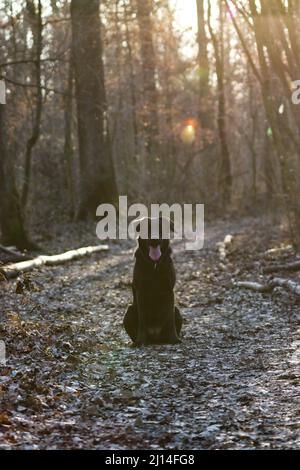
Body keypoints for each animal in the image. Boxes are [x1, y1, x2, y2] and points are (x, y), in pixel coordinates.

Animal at [123, 218, 182, 346]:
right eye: (147, 229)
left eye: (160, 229)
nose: (154, 240)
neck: (154, 265)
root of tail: (155, 337)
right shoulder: (140, 292)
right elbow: (142, 320)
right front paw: (140, 341)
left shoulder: (169, 291)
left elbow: (170, 320)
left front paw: (174, 339)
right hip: (129, 311)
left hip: (177, 310)